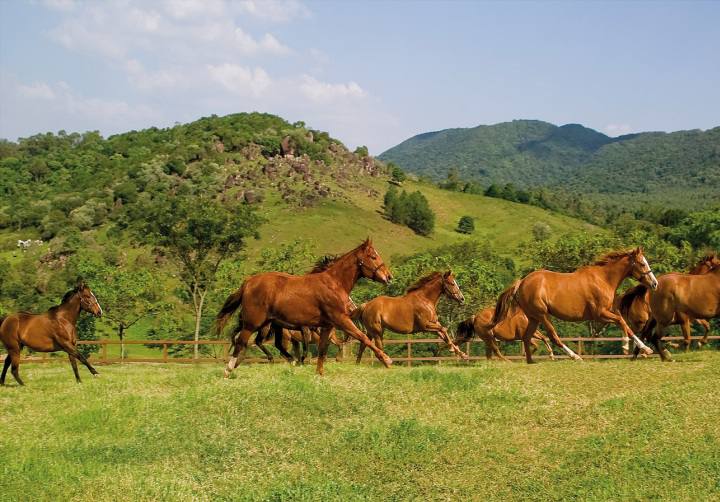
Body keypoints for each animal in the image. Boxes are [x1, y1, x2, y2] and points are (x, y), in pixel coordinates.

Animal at [215, 239, 394, 376]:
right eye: (373, 256)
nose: (389, 277)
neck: (333, 284)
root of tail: (248, 282)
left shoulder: (327, 326)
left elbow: (322, 350)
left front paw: (319, 374)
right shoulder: (341, 320)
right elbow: (363, 337)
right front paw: (386, 359)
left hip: (269, 324)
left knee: (261, 343)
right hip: (253, 323)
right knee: (241, 342)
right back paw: (228, 370)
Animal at [496, 248, 660, 362]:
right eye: (642, 263)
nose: (655, 283)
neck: (603, 279)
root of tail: (521, 282)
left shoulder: (608, 311)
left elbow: (625, 324)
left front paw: (643, 349)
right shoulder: (600, 314)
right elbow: (621, 322)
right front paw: (631, 347)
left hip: (533, 317)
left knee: (526, 338)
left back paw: (531, 362)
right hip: (542, 315)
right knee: (552, 336)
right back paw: (575, 356)